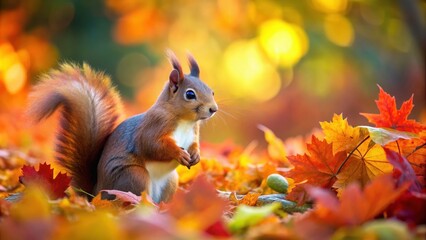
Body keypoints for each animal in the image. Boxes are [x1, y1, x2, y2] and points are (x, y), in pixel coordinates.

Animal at [27, 51, 216, 202]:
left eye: (212, 91)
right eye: (190, 94)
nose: (213, 109)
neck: (185, 120)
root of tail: (96, 194)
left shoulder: (193, 133)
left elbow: (193, 145)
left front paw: (196, 155)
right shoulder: (154, 125)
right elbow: (152, 145)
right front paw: (179, 153)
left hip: (170, 182)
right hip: (134, 177)